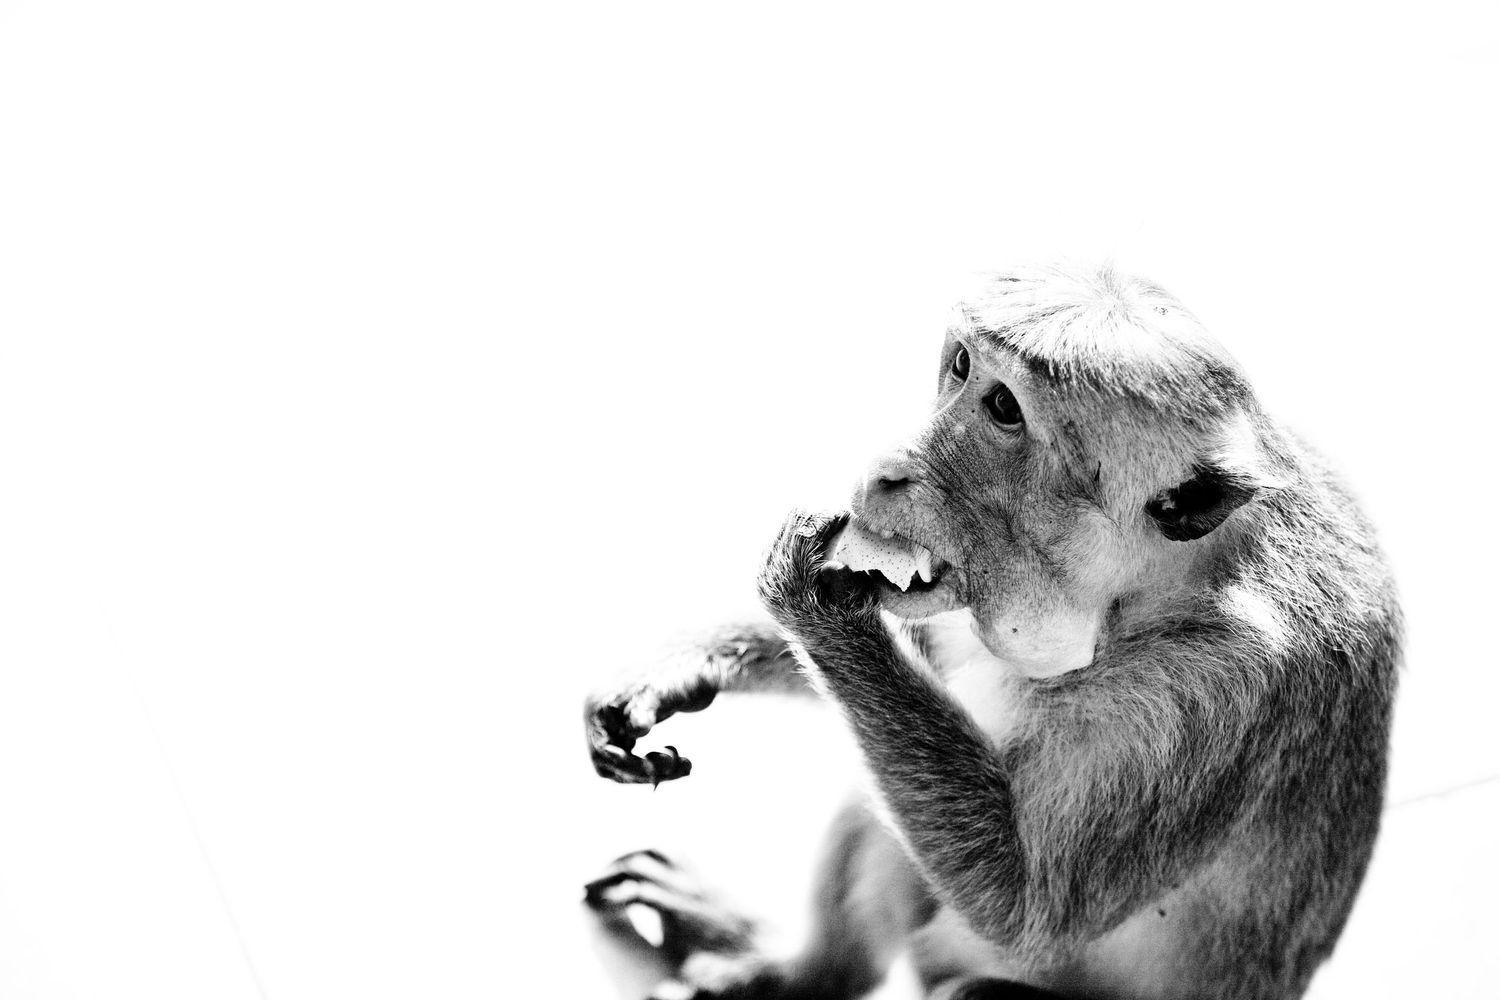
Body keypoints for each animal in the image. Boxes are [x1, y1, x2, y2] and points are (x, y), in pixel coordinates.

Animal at [582, 264, 1400, 1000]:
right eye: (961, 366)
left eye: (1005, 407)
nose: (884, 468)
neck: (1137, 599)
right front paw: (682, 664)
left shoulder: (1207, 690)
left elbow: (1025, 909)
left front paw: (818, 608)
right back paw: (794, 973)